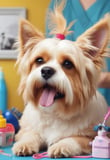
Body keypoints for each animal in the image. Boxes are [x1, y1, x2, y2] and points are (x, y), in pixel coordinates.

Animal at [12, 0, 109, 158]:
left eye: (68, 64)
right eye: (39, 60)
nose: (46, 70)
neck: (55, 114)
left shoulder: (90, 137)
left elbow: (74, 138)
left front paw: (61, 145)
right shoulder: (26, 129)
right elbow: (30, 134)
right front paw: (25, 144)